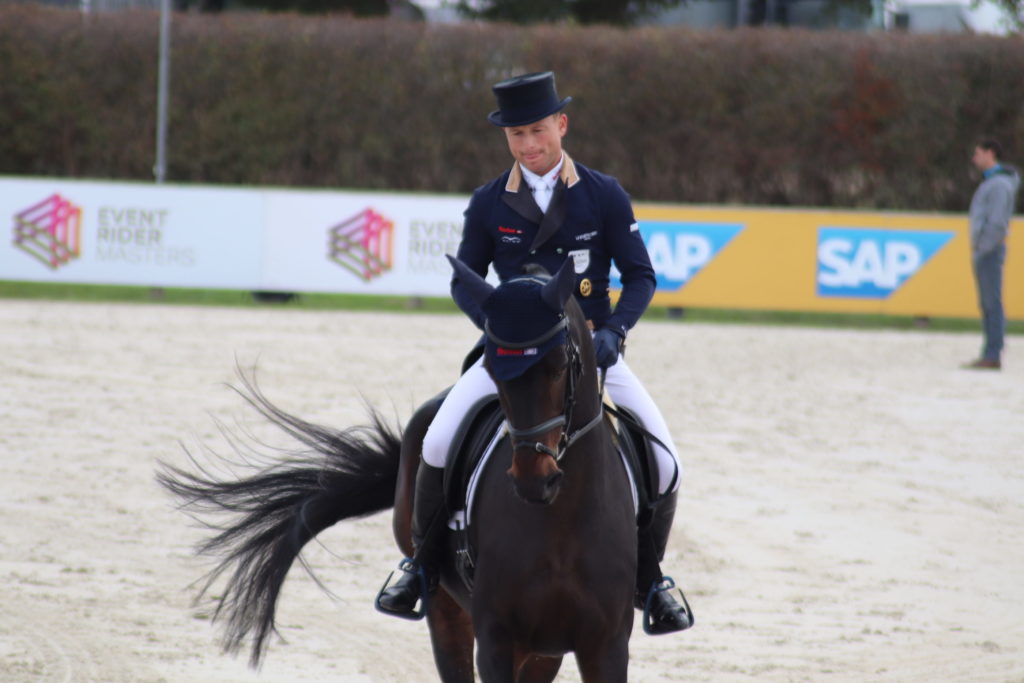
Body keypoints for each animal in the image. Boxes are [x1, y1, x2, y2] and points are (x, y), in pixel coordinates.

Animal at [157, 260, 638, 679]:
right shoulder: (498, 640)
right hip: (446, 608)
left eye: (559, 366)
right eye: (492, 371)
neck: (561, 524)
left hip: (543, 648)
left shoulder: (606, 646)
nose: (534, 478)